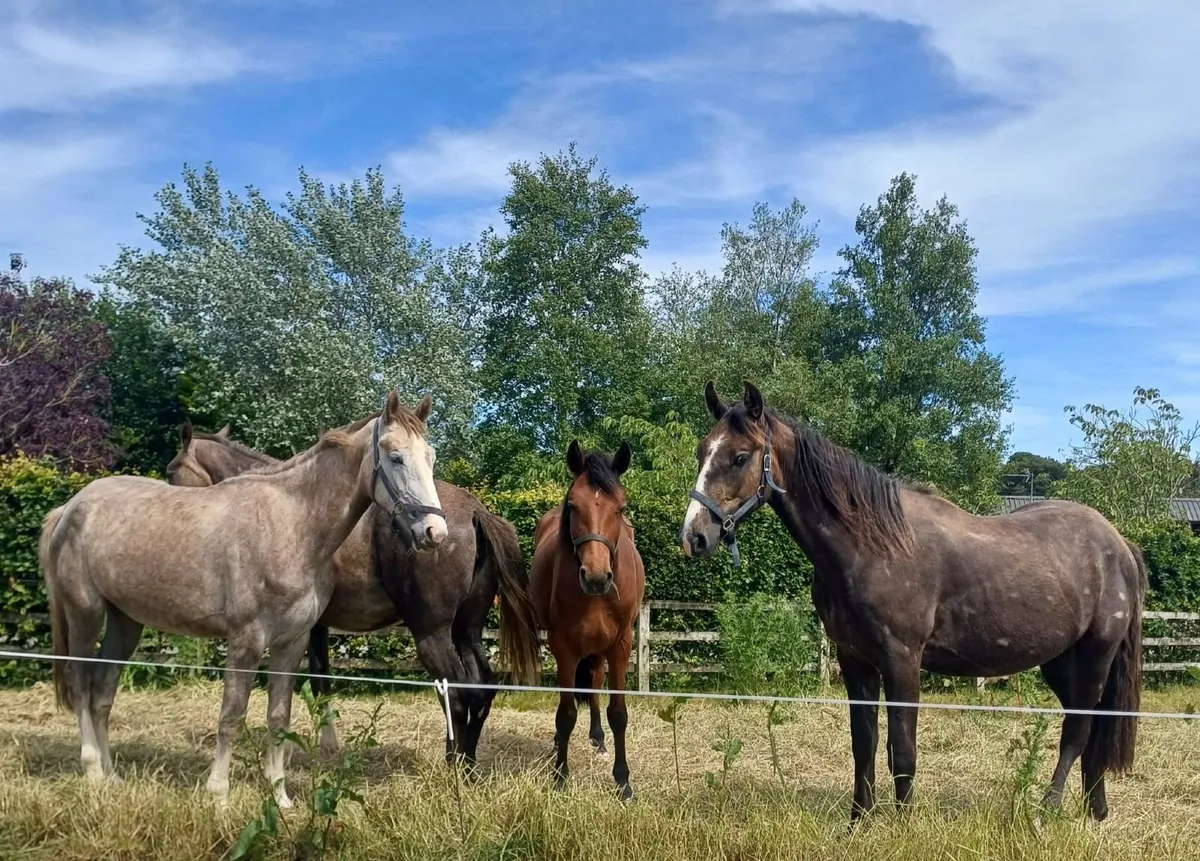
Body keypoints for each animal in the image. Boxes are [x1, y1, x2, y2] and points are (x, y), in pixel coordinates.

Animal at [40, 391, 448, 807]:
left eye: (430, 457)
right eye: (395, 457)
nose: (435, 532)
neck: (292, 524)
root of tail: (69, 508)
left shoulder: (291, 644)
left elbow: (278, 718)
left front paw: (280, 796)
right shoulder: (246, 641)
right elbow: (231, 716)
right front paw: (218, 793)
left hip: (126, 622)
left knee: (102, 694)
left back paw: (112, 777)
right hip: (85, 613)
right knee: (80, 684)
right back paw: (93, 771)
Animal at [165, 420, 542, 765]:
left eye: (170, 472)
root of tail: (476, 511)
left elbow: (316, 679)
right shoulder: (316, 626)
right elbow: (322, 678)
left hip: (432, 634)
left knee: (457, 694)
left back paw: (453, 767)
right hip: (467, 630)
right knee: (481, 689)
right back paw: (468, 765)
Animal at [529, 440, 645, 801]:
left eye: (621, 508)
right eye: (573, 505)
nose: (595, 577)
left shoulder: (621, 645)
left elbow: (618, 713)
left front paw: (623, 781)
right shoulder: (563, 647)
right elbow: (565, 713)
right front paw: (560, 776)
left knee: (593, 684)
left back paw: (598, 737)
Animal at [680, 380, 1146, 824]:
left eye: (740, 456)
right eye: (702, 452)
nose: (694, 537)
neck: (873, 546)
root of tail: (1118, 544)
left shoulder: (902, 659)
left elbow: (901, 749)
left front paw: (903, 827)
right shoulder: (855, 660)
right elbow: (864, 744)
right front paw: (859, 821)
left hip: (1095, 656)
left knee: (1078, 730)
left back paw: (1047, 811)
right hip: (1061, 662)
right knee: (1095, 731)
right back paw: (1095, 810)